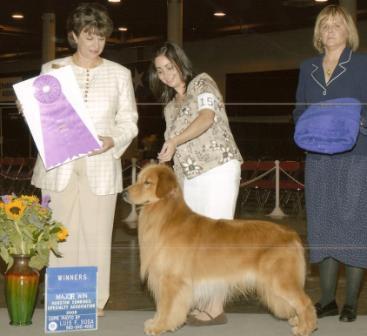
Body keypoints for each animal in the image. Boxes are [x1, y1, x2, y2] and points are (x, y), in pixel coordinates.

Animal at [122, 164, 318, 334]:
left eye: (147, 182)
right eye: (138, 179)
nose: (123, 193)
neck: (165, 216)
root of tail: (291, 233)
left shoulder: (172, 279)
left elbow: (166, 305)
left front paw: (160, 326)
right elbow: (162, 305)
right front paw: (156, 322)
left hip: (281, 280)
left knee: (305, 302)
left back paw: (305, 328)